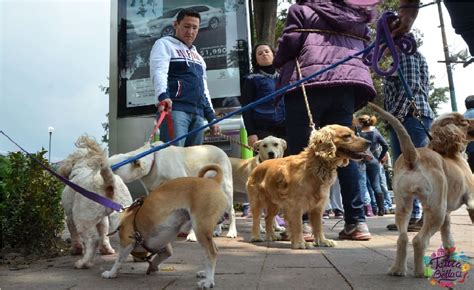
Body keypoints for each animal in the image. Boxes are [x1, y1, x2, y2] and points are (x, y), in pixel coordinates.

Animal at [60, 136, 133, 270]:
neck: (83, 168)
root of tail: (107, 183)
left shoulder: (69, 218)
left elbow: (74, 234)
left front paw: (76, 249)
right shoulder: (102, 219)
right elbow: (104, 233)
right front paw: (106, 250)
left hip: (82, 218)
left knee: (92, 240)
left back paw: (83, 263)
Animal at [106, 143, 235, 240]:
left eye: (114, 168)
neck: (154, 162)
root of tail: (220, 149)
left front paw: (192, 235)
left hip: (227, 189)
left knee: (231, 211)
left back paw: (232, 232)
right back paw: (217, 230)